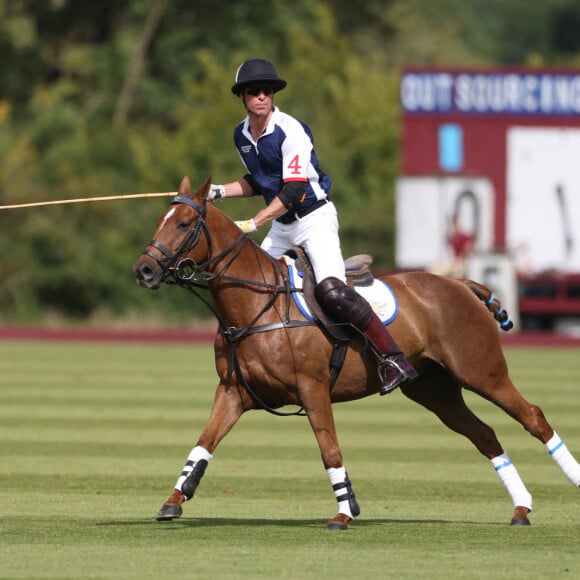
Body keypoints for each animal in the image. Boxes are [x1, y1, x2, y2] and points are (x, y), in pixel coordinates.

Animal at [133, 177, 580, 532]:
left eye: (184, 224)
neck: (256, 305)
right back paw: (521, 508)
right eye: (160, 222)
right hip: (435, 390)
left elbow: (329, 448)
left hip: (482, 370)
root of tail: (463, 285)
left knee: (533, 416)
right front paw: (173, 501)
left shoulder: (312, 388)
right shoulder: (233, 392)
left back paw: (568, 481)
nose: (144, 271)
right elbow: (203, 442)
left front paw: (344, 513)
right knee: (484, 434)